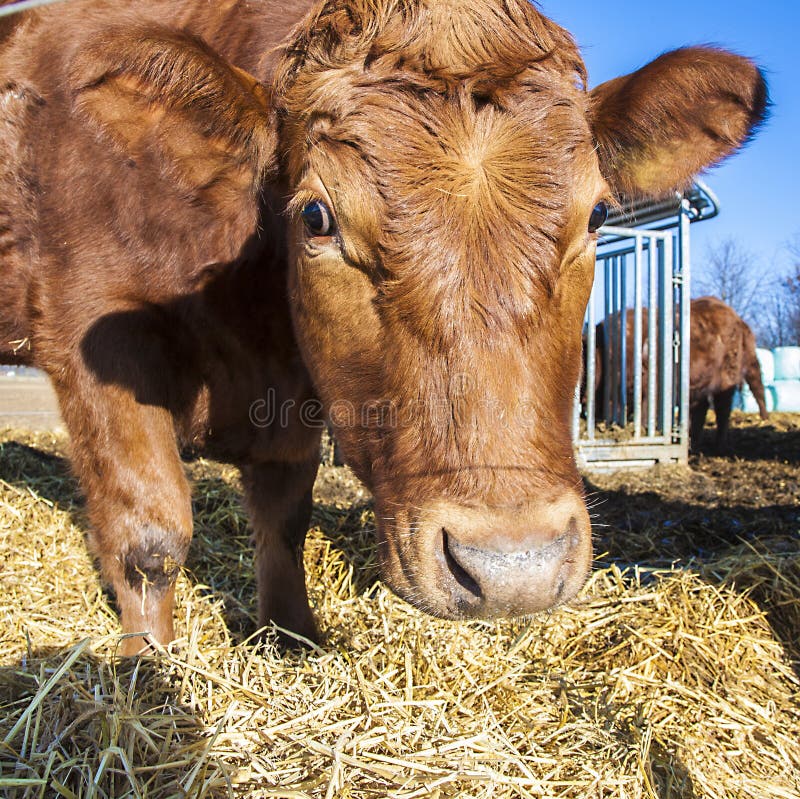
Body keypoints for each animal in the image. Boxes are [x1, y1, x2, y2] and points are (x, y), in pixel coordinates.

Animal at [0, 0, 764, 656]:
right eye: (317, 216)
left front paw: (295, 638)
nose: (513, 567)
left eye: (599, 214)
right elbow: (150, 536)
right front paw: (149, 668)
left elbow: (285, 518)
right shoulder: (92, 336)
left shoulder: (294, 392)